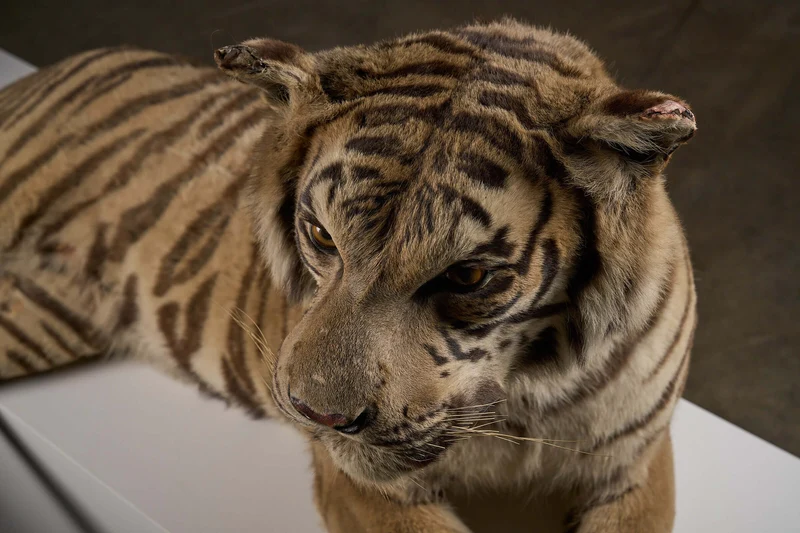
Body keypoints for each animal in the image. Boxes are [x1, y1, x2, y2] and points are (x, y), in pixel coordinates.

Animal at [0, 18, 697, 533]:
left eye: (468, 276)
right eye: (318, 235)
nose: (317, 416)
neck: (513, 398)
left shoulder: (636, 463)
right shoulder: (365, 489)